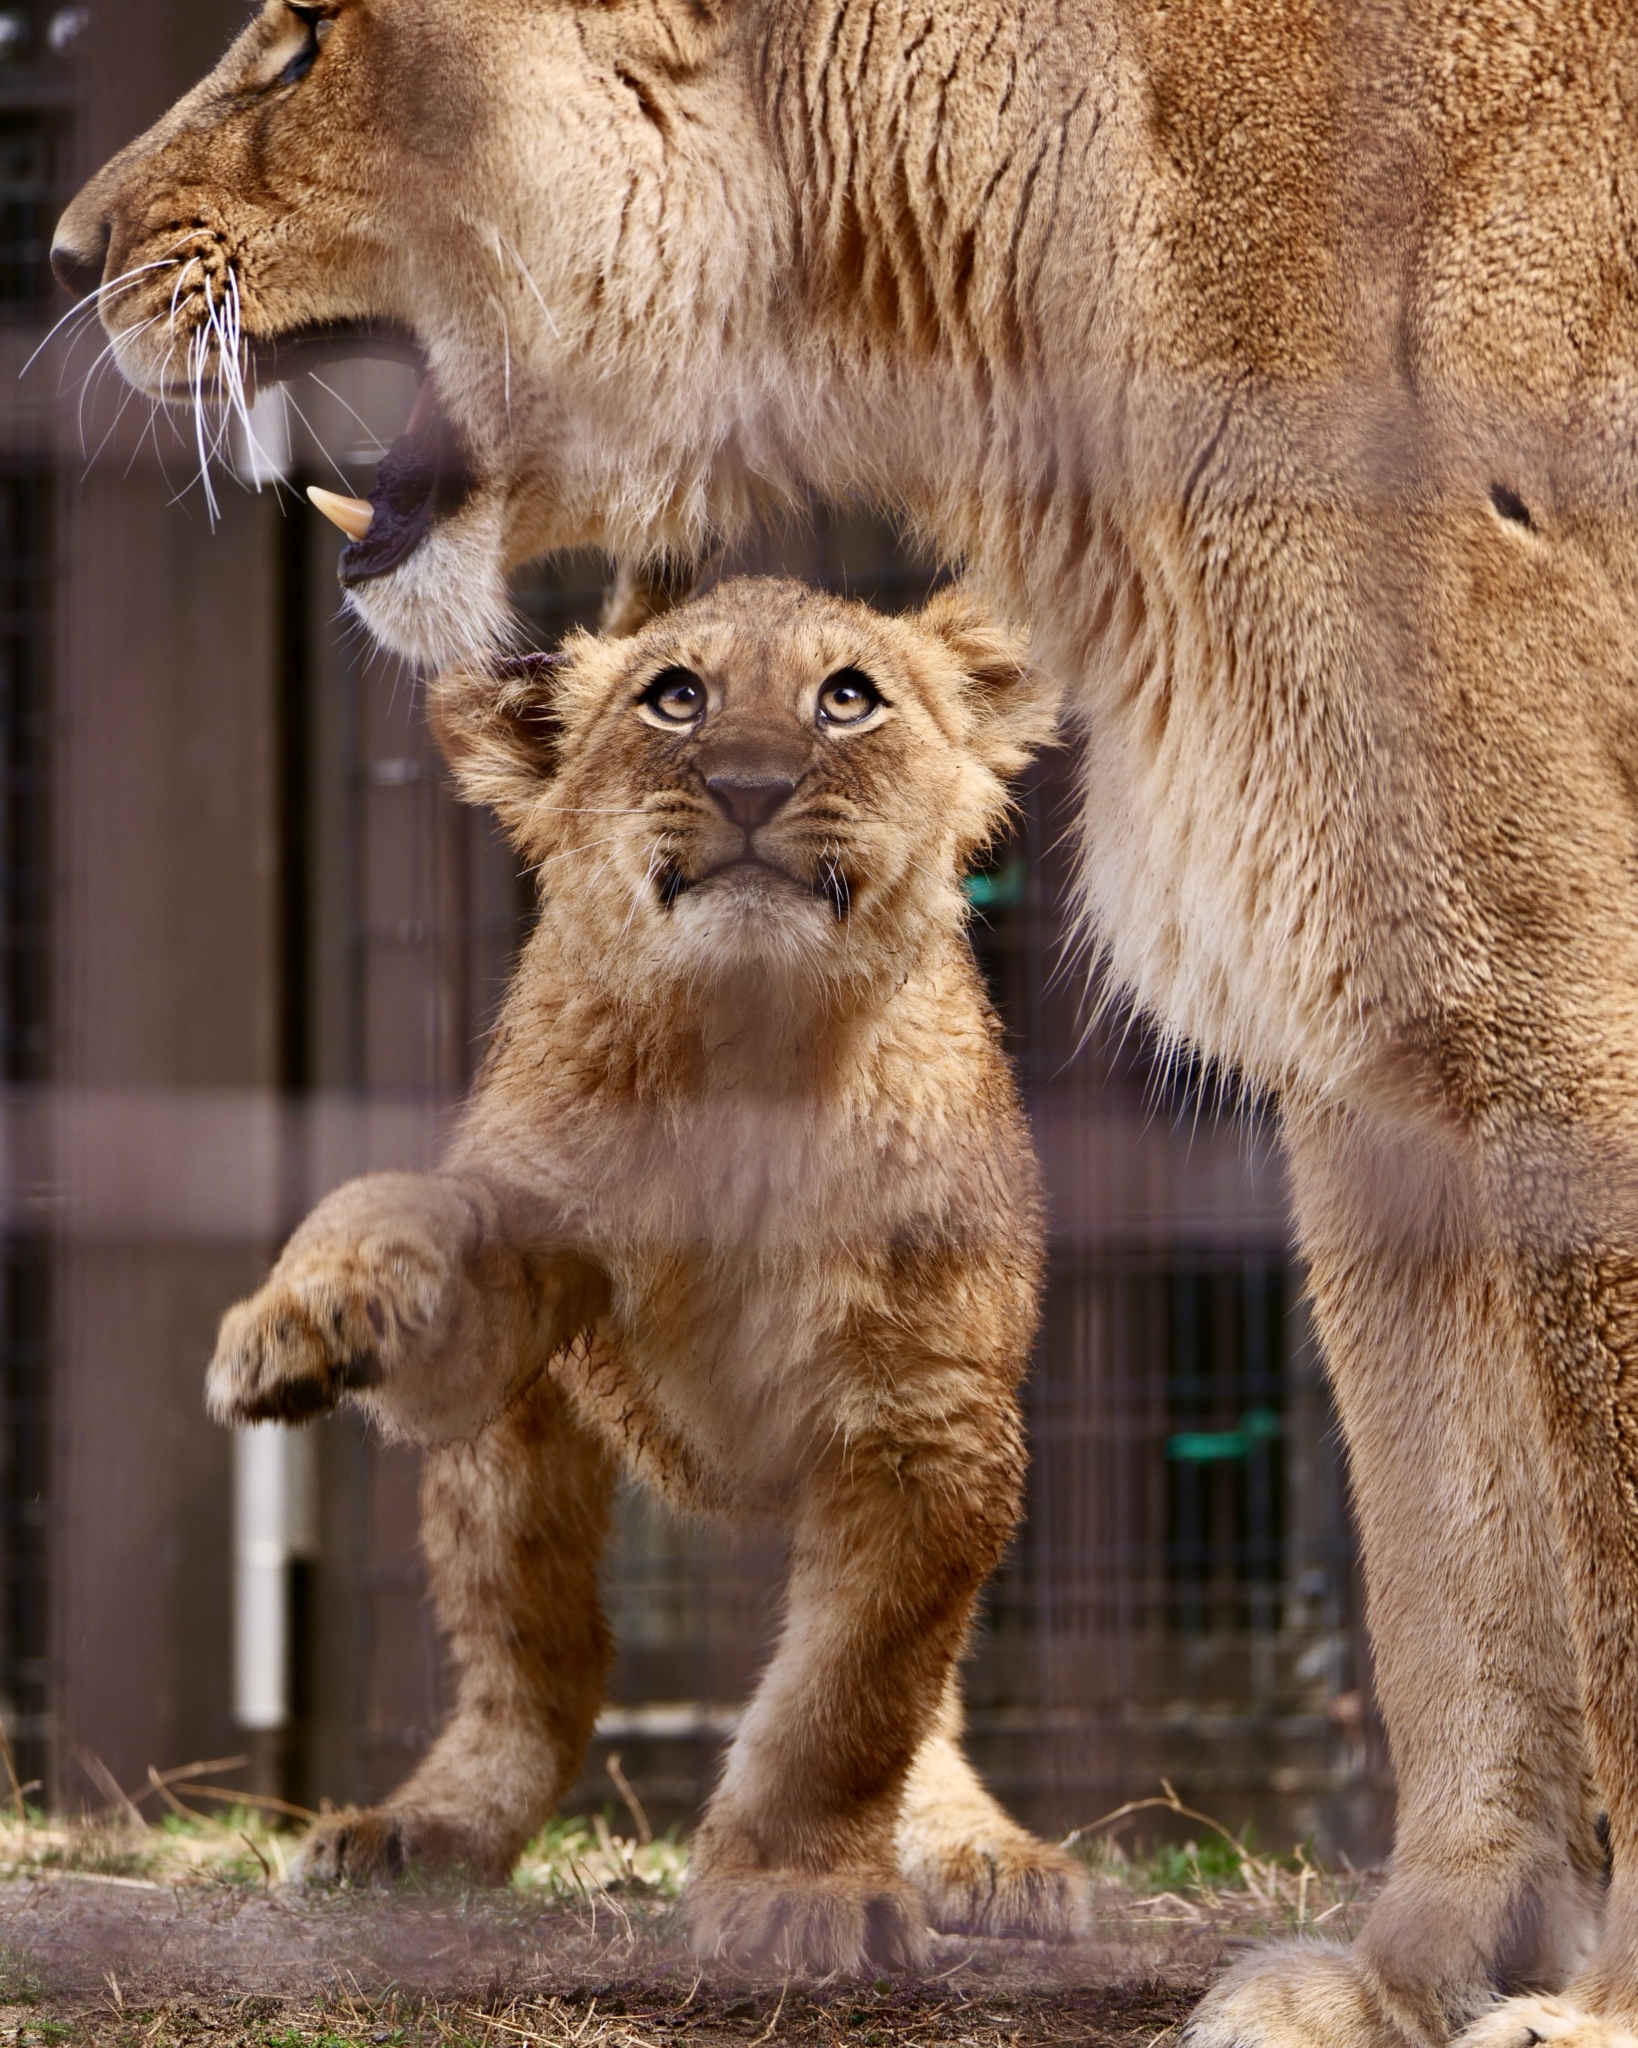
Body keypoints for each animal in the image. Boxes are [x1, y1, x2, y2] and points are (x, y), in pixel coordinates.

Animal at [203, 576, 1086, 1972]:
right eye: (675, 694)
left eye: (850, 695)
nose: (748, 781)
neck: (752, 1065)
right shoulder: (510, 1284)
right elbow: (405, 1203)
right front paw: (304, 1318)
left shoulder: (933, 1431)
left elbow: (850, 1700)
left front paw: (795, 1889)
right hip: (512, 1468)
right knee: (537, 1664)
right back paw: (419, 1831)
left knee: (925, 1704)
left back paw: (983, 1852)